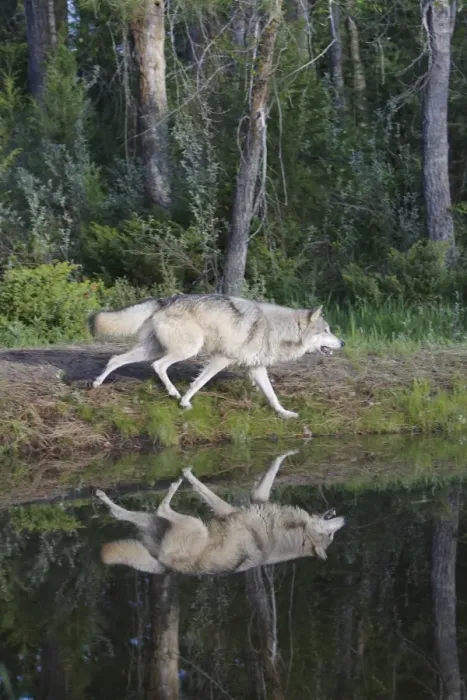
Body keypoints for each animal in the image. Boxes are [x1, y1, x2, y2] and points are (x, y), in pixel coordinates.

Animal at [89, 294, 344, 419]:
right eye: (326, 330)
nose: (343, 342)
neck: (279, 330)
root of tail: (164, 300)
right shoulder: (222, 359)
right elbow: (199, 382)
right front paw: (185, 402)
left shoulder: (256, 368)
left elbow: (272, 395)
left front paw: (284, 414)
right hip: (186, 349)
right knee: (158, 366)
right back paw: (173, 393)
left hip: (152, 349)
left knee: (116, 359)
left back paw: (97, 383)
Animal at [95, 450, 345, 577]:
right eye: (331, 536)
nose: (345, 519)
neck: (283, 533)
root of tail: (164, 567)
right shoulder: (255, 500)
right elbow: (274, 466)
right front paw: (288, 451)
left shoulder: (230, 510)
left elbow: (203, 488)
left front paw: (188, 474)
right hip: (162, 524)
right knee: (120, 514)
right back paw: (103, 497)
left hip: (193, 525)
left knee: (161, 507)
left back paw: (177, 482)